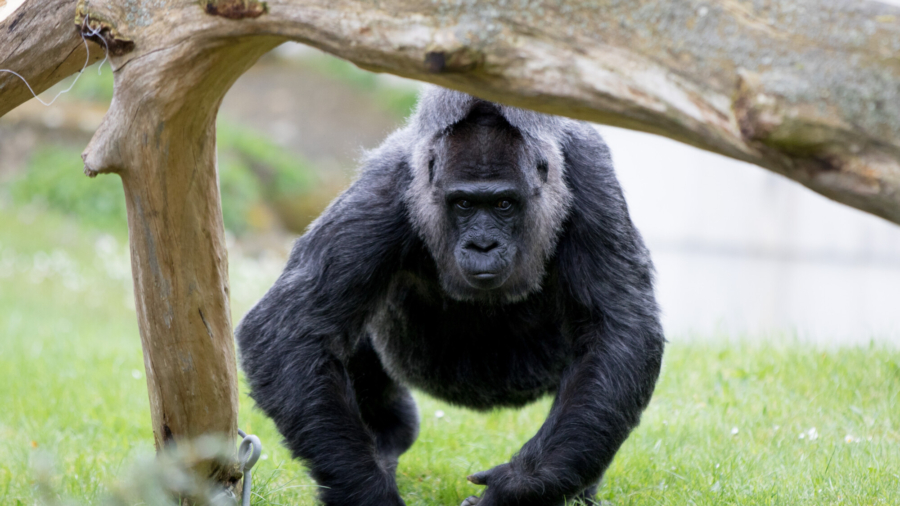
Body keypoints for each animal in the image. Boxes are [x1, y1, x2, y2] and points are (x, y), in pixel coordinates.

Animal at [236, 86, 665, 506]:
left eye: (503, 203)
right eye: (463, 203)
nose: (482, 245)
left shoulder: (591, 175)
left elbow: (618, 330)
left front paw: (519, 488)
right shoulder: (387, 188)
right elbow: (292, 330)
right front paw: (369, 493)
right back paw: (389, 434)